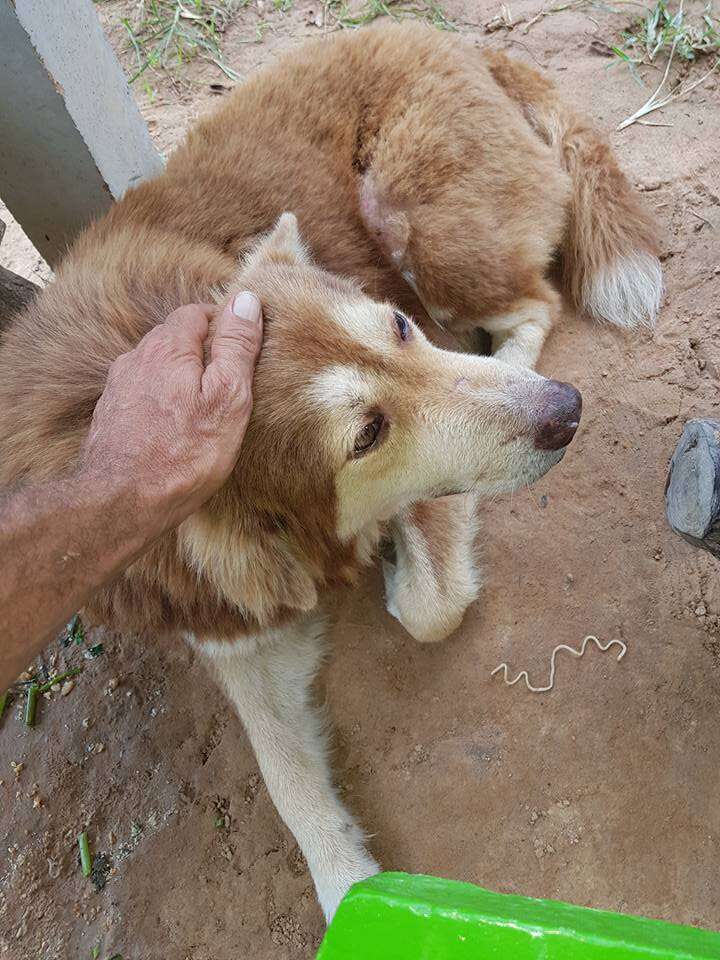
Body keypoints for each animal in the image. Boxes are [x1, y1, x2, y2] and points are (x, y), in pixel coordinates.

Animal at [0, 24, 660, 924]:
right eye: (367, 433)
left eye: (397, 329)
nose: (567, 410)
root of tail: (442, 37)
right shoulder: (228, 625)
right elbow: (287, 783)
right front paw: (352, 885)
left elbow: (429, 607)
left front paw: (398, 571)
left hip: (419, 222)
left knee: (534, 306)